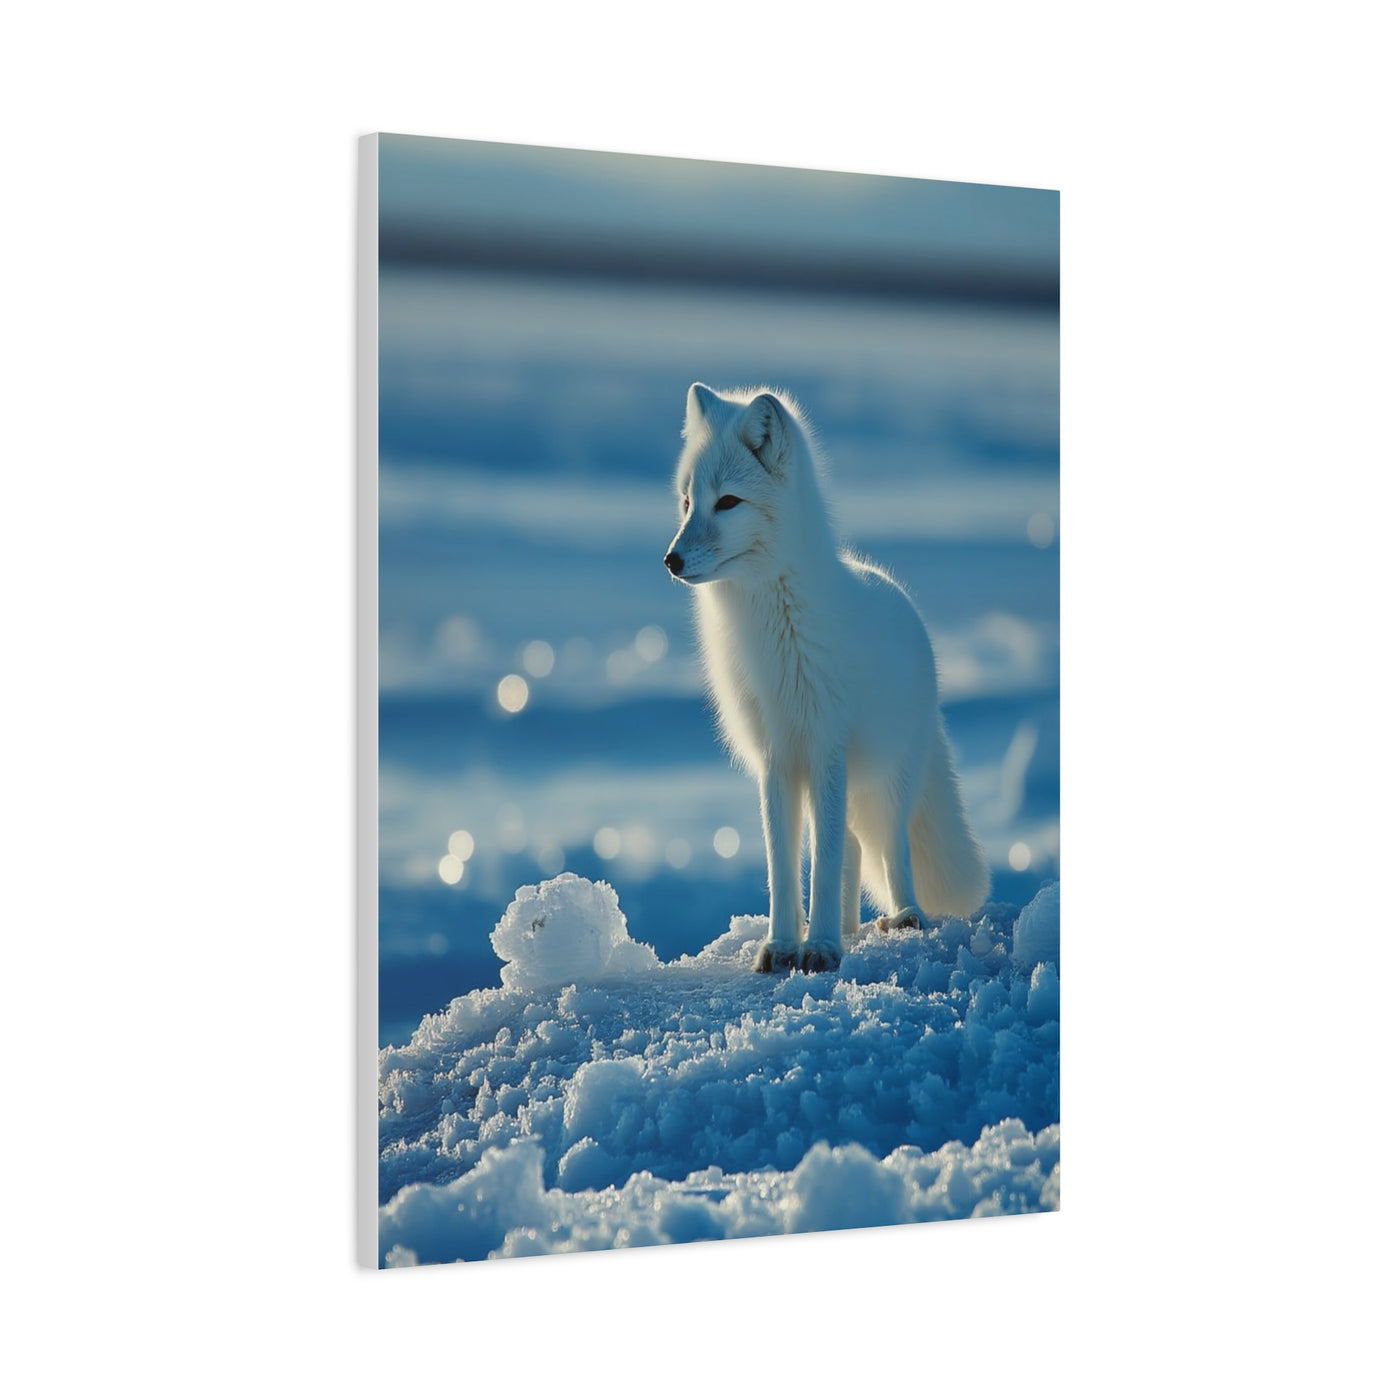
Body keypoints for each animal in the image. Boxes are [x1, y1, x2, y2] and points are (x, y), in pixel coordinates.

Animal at [664, 383, 989, 973]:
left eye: (728, 502)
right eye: (687, 502)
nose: (671, 560)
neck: (772, 625)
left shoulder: (825, 744)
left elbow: (825, 857)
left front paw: (819, 947)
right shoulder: (775, 757)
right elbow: (784, 863)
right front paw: (783, 944)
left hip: (889, 779)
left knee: (888, 849)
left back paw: (902, 917)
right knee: (852, 849)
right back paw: (849, 927)